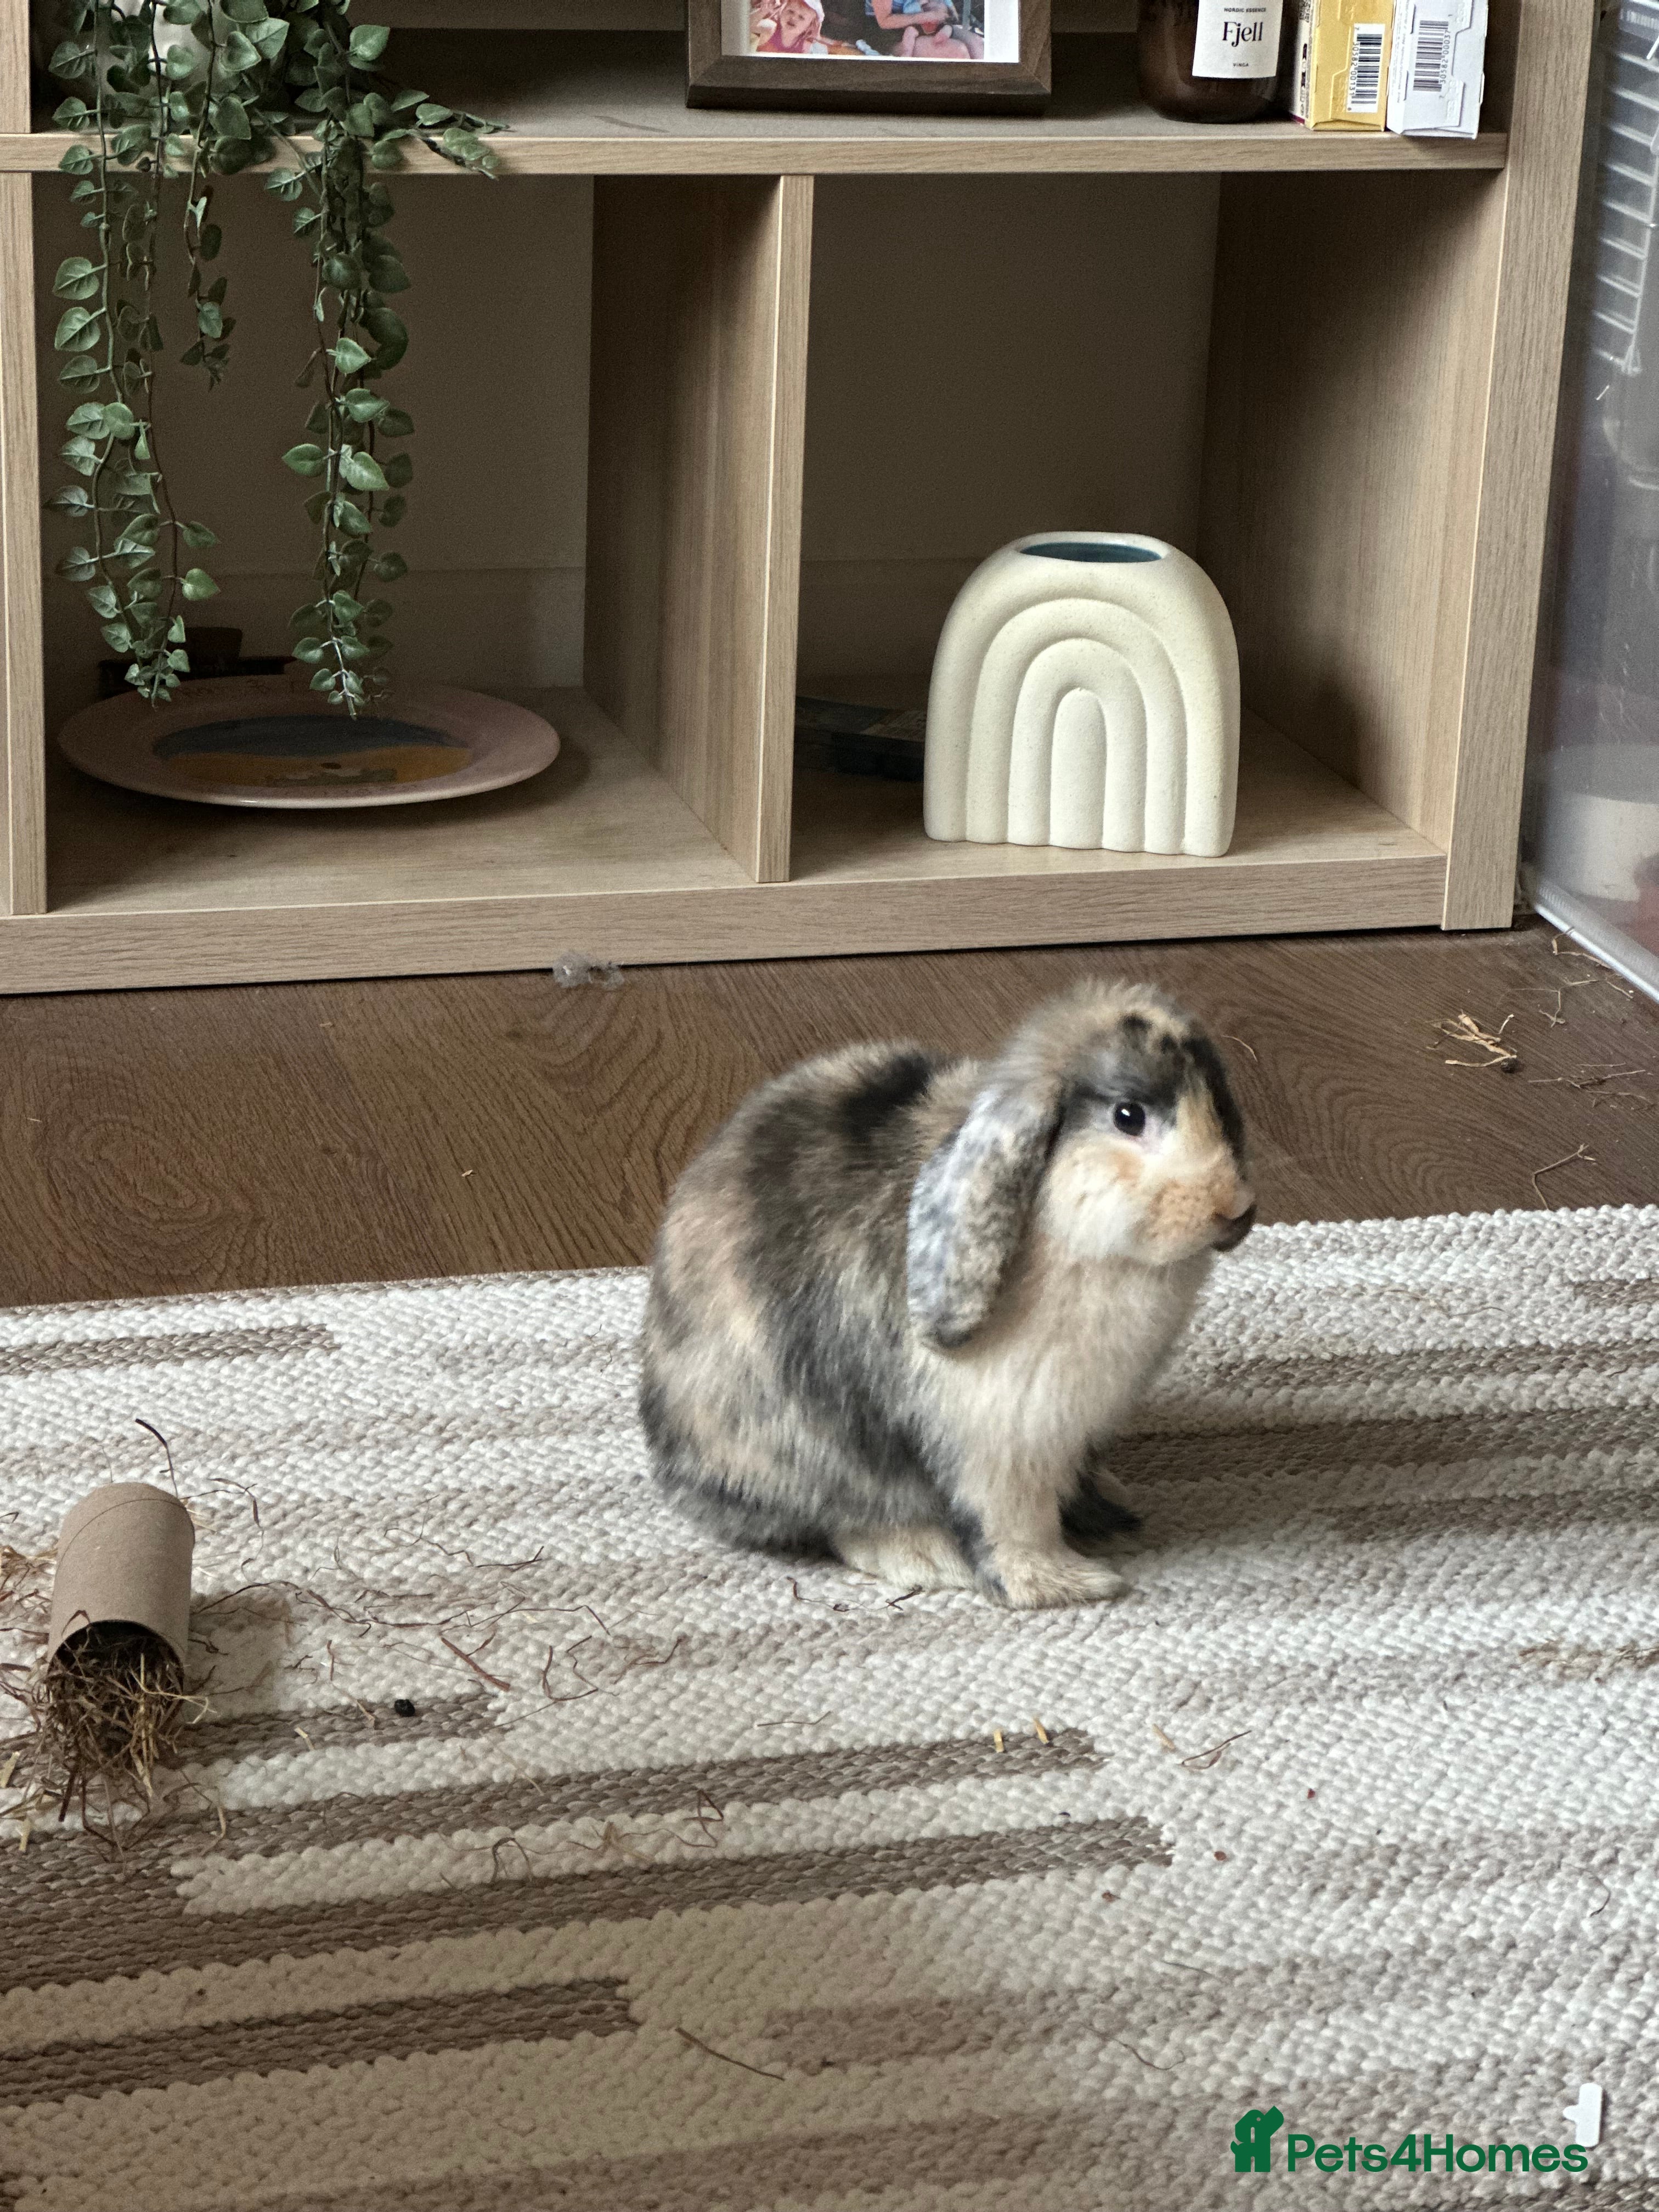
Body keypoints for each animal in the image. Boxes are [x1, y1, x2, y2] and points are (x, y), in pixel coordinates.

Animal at [640, 978, 1255, 1609]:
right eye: (1128, 1116)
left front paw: (1106, 1507)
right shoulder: (996, 1441)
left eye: (1220, 1102)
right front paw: (1065, 1584)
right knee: (837, 1519)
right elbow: (1012, 1525)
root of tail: (672, 1465)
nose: (1235, 1209)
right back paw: (925, 1557)